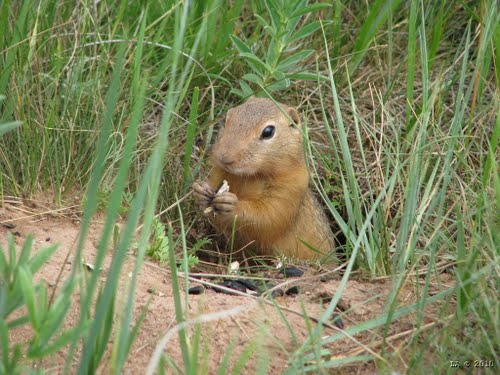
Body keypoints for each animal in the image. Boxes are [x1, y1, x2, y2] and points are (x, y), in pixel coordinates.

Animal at [193, 98, 334, 260]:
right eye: (226, 119)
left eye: (268, 131)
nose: (224, 157)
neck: (250, 176)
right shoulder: (218, 173)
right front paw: (200, 189)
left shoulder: (290, 190)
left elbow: (267, 218)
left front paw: (231, 204)